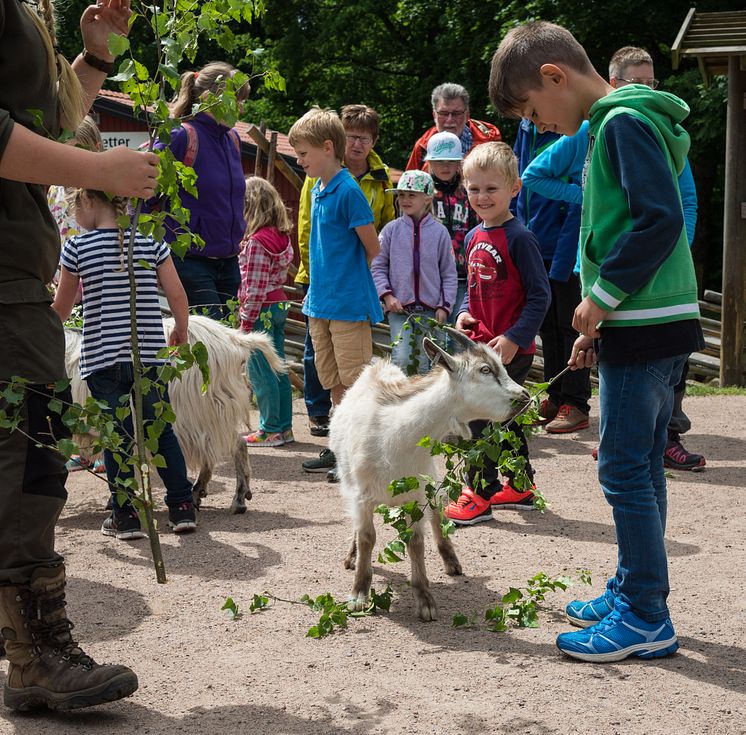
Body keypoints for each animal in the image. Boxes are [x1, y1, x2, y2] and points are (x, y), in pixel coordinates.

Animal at [63, 314, 284, 516]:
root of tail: (233, 340)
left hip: (196, 412)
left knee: (233, 446)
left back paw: (235, 498)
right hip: (207, 412)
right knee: (221, 449)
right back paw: (201, 493)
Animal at [328, 334, 528, 620]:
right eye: (485, 370)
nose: (524, 396)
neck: (396, 438)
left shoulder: (416, 494)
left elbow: (416, 542)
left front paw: (424, 599)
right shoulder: (361, 495)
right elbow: (367, 537)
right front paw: (359, 594)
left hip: (430, 477)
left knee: (437, 511)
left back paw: (451, 561)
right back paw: (351, 557)